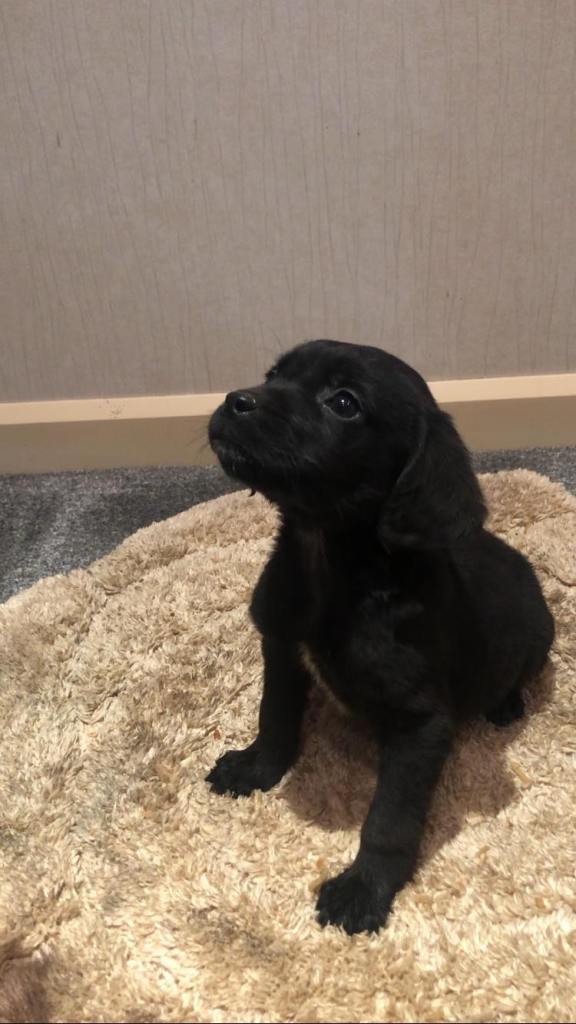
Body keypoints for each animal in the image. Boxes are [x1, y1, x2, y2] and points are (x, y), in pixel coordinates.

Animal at [206, 339, 555, 935]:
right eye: (274, 374)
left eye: (344, 402)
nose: (235, 401)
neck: (330, 567)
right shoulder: (281, 651)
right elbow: (274, 720)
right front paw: (255, 769)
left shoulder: (422, 725)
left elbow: (389, 819)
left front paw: (364, 889)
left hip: (540, 636)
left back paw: (506, 705)